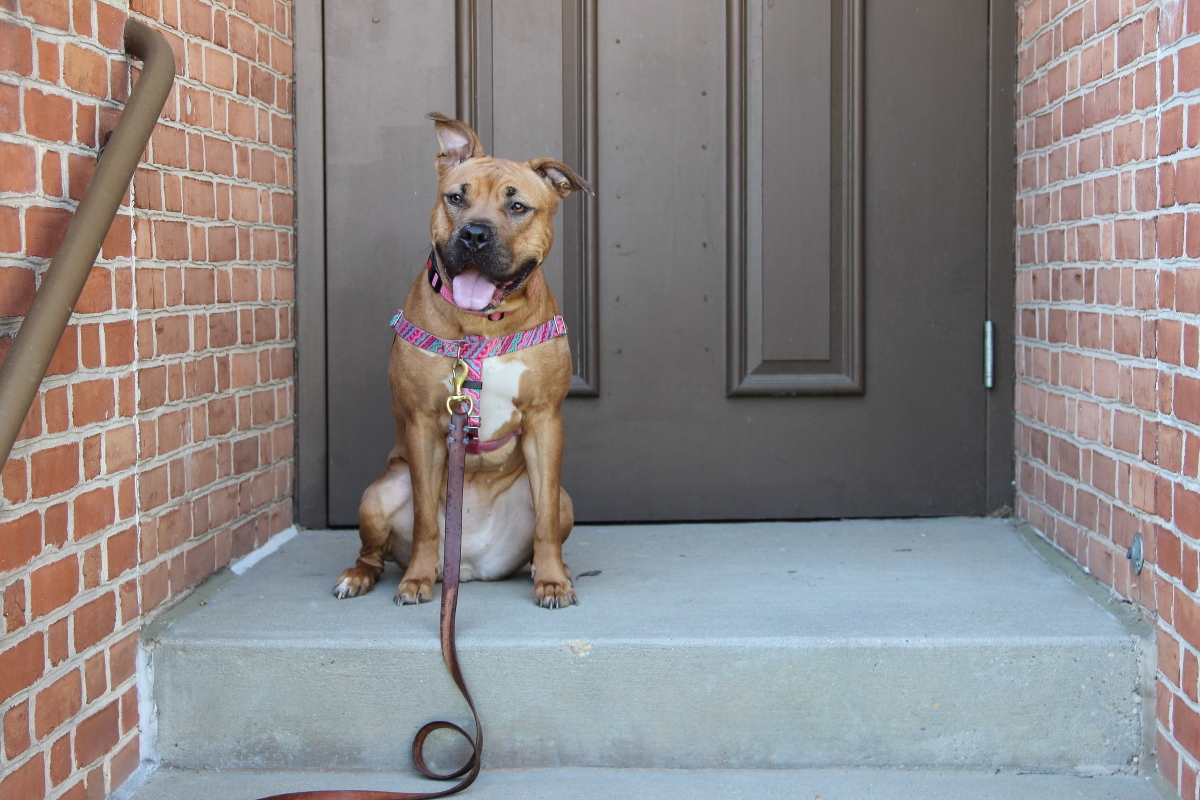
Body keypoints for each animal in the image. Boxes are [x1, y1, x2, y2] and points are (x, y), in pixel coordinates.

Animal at [331, 112, 592, 609]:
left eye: (518, 207)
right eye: (456, 198)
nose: (474, 234)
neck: (482, 324)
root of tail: (469, 566)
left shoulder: (546, 420)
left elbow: (546, 522)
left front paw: (552, 580)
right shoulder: (422, 424)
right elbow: (426, 522)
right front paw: (416, 578)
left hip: (566, 497)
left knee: (547, 520)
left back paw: (550, 568)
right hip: (379, 492)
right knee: (374, 552)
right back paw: (361, 576)